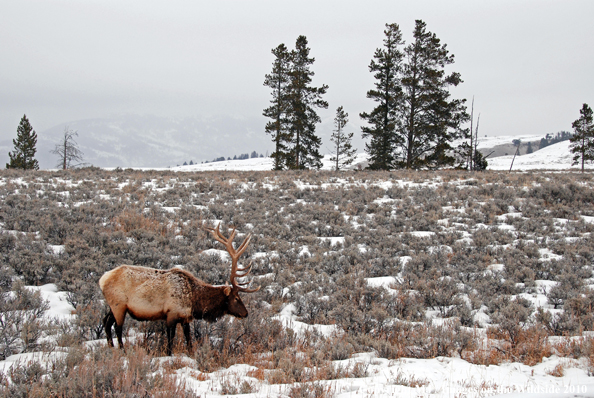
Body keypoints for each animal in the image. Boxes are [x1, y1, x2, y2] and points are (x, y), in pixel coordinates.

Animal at [98, 225, 258, 356]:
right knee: (117, 327)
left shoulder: (185, 317)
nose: (246, 313)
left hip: (113, 306)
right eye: (236, 298)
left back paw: (111, 348)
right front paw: (169, 355)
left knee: (106, 322)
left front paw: (191, 354)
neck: (194, 300)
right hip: (119, 305)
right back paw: (122, 351)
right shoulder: (171, 314)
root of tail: (102, 280)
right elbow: (170, 340)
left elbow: (189, 340)